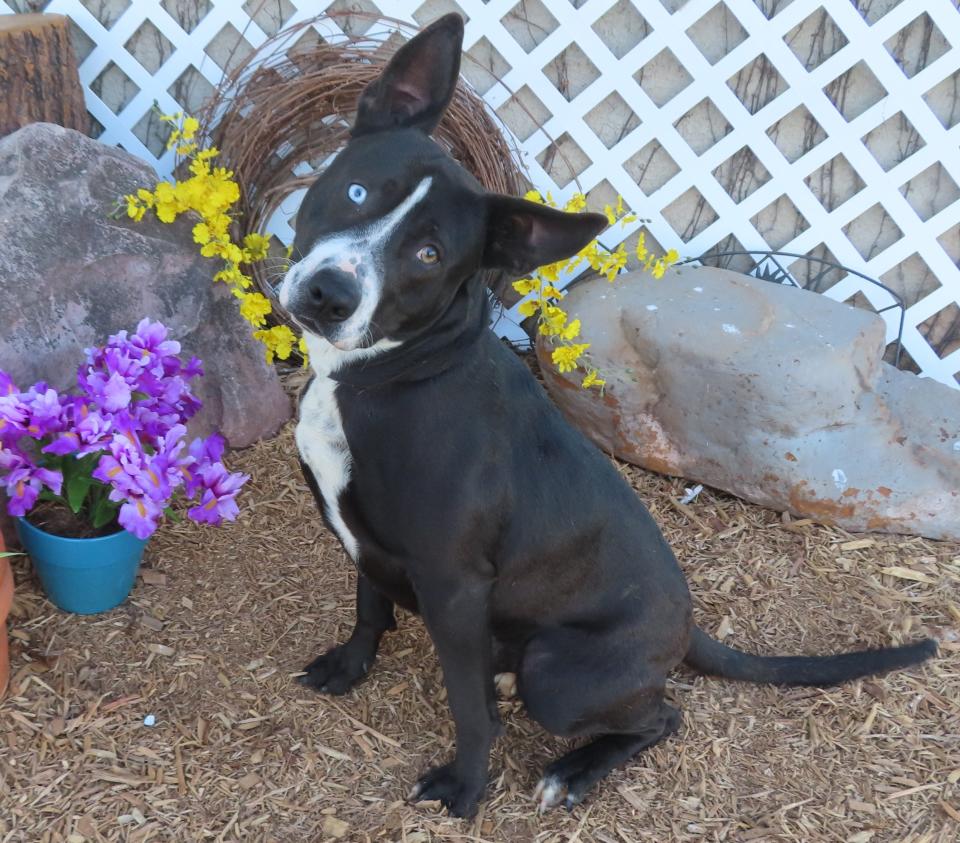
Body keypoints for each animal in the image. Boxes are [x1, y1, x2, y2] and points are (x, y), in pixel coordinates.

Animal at [274, 13, 932, 816]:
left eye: (428, 253)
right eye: (358, 187)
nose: (329, 293)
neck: (390, 373)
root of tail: (687, 626)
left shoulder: (453, 584)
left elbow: (467, 705)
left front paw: (466, 784)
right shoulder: (362, 531)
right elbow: (369, 603)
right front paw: (349, 665)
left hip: (557, 675)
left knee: (662, 716)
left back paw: (574, 770)